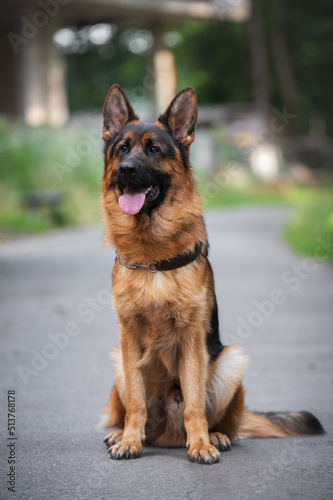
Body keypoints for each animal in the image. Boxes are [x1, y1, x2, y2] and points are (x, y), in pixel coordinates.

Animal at [100, 84, 322, 462]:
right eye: (122, 149)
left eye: (154, 150)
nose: (126, 170)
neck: (152, 255)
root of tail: (169, 436)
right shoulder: (128, 340)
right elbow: (137, 404)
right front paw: (129, 440)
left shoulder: (192, 342)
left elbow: (193, 402)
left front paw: (201, 444)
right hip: (118, 363)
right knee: (134, 411)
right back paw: (123, 434)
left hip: (231, 361)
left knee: (218, 418)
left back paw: (215, 435)